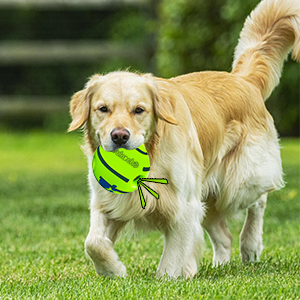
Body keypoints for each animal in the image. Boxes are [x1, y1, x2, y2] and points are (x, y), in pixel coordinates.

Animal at [68, 0, 300, 278]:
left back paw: (251, 246)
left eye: (139, 110)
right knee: (224, 236)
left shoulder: (183, 206)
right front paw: (114, 270)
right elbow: (93, 243)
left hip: (238, 180)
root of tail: (242, 80)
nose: (120, 136)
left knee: (259, 201)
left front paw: (167, 279)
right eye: (103, 109)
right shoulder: (107, 202)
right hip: (210, 195)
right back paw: (219, 264)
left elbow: (172, 257)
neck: (152, 156)